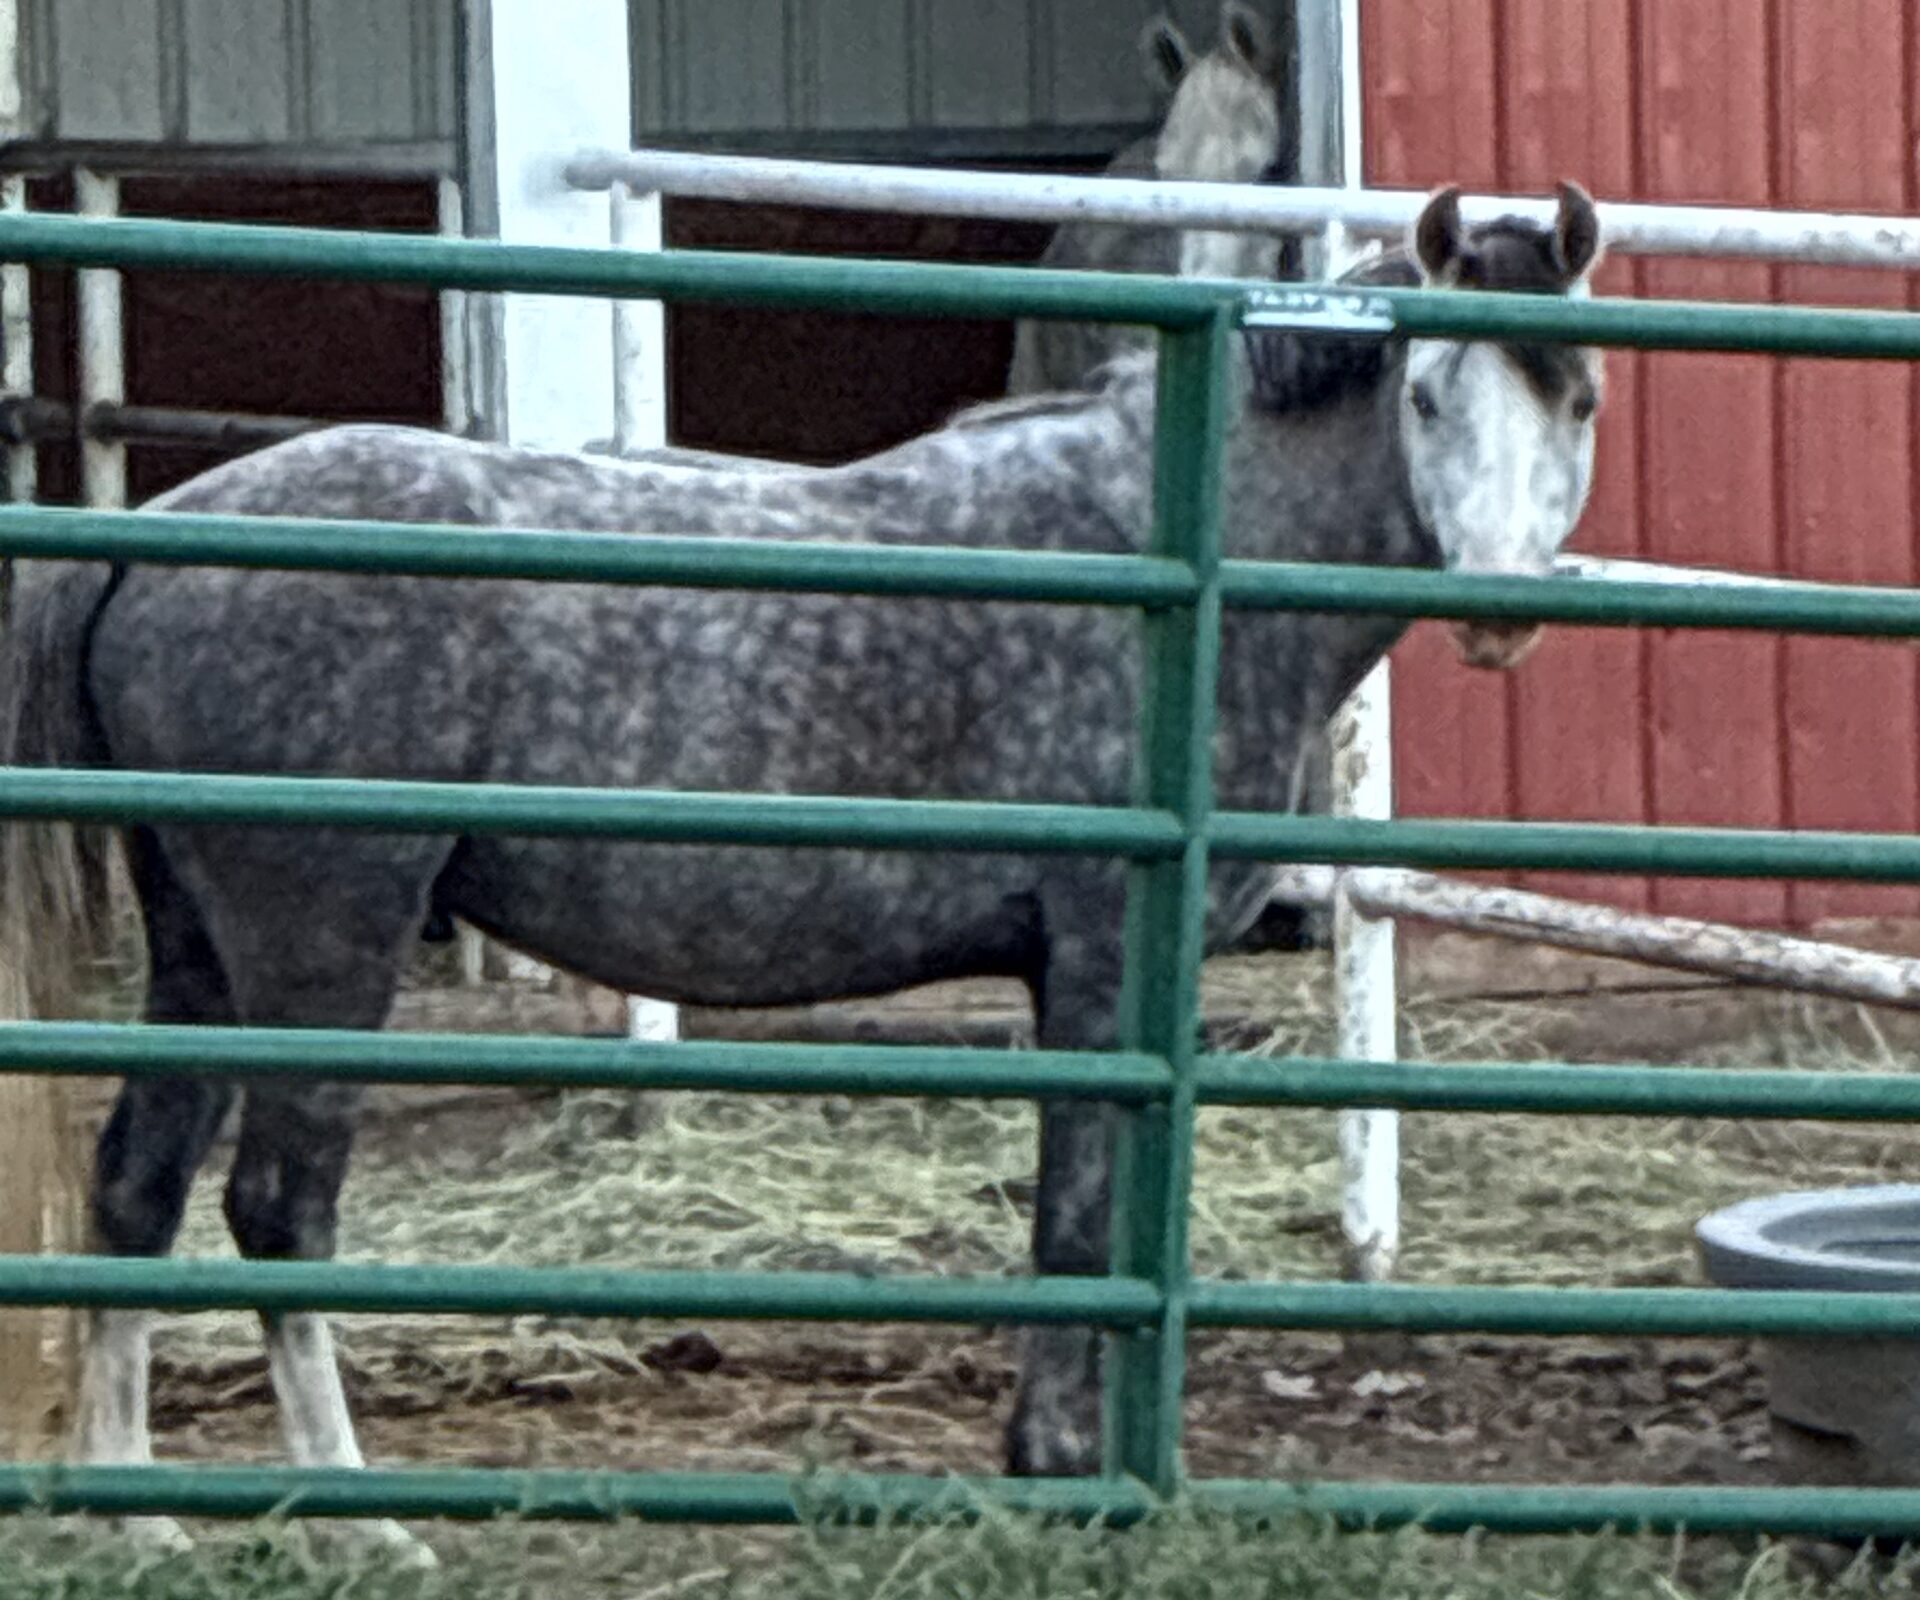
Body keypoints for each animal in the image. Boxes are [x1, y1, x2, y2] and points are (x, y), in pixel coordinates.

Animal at [0, 184, 1603, 1553]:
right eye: (1428, 393)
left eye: (1577, 396)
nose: (1502, 614)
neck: (1173, 558)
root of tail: (149, 536)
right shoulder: (1100, 963)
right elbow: (1080, 1221)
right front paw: (1055, 1470)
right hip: (324, 944)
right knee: (279, 1207)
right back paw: (360, 1517)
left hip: (202, 949)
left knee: (137, 1189)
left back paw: (134, 1511)